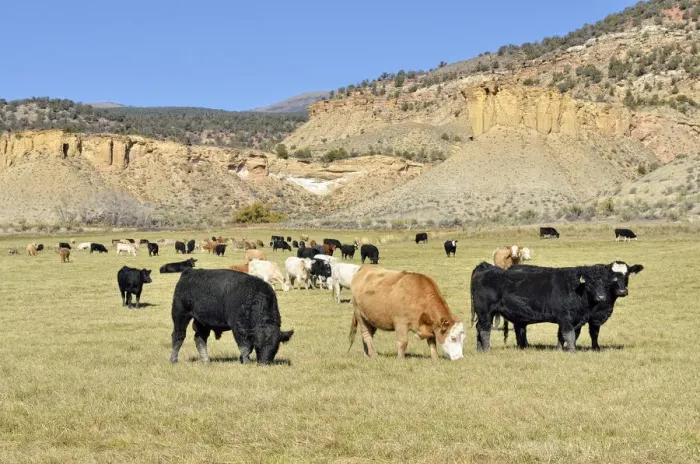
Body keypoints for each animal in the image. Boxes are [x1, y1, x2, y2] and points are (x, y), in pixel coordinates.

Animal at [470, 261, 643, 352]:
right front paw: (572, 351)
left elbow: (566, 335)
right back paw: (487, 349)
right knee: (485, 330)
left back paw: (480, 349)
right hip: (486, 312)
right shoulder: (567, 318)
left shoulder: (576, 319)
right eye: (590, 283)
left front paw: (560, 350)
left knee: (480, 329)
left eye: (608, 282)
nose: (601, 297)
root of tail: (485, 267)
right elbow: (570, 335)